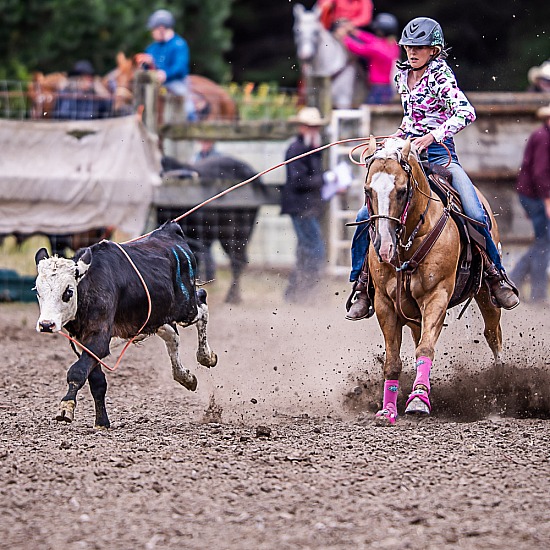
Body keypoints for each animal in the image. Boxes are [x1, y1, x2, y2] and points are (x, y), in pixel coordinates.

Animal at [34, 222, 220, 430]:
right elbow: (96, 381)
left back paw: (206, 356)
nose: (46, 324)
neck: (90, 285)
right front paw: (102, 422)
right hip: (157, 317)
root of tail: (169, 230)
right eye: (38, 291)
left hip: (186, 307)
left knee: (202, 304)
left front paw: (66, 408)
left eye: (68, 291)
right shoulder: (80, 342)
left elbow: (78, 371)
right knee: (172, 336)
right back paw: (185, 377)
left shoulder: (99, 339)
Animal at [362, 137, 504, 426]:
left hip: (486, 294)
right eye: (368, 191)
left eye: (402, 191)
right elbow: (393, 361)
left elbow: (425, 349)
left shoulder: (436, 295)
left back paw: (498, 392)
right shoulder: (384, 303)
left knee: (492, 334)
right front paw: (388, 410)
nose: (383, 247)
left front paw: (418, 400)